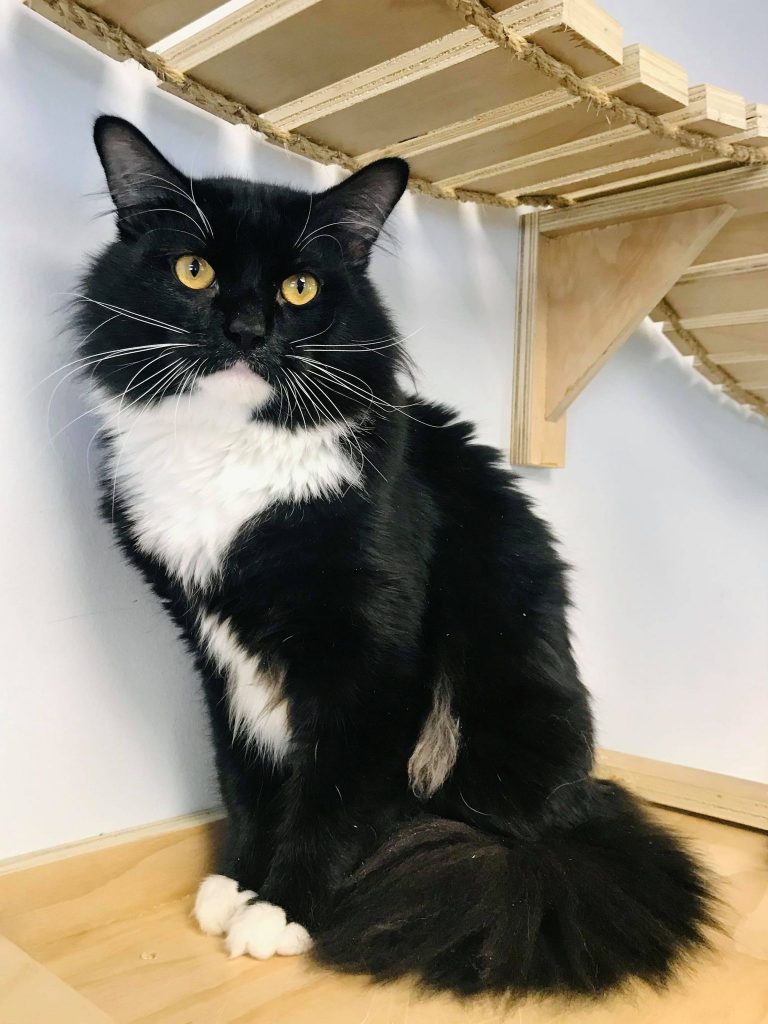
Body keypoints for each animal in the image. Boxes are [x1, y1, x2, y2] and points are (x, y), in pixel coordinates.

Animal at [74, 115, 713, 997]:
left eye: (300, 288)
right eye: (193, 270)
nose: (246, 331)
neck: (229, 455)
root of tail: (569, 821)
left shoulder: (371, 651)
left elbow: (332, 793)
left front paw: (281, 909)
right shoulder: (212, 648)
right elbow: (244, 776)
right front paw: (237, 881)